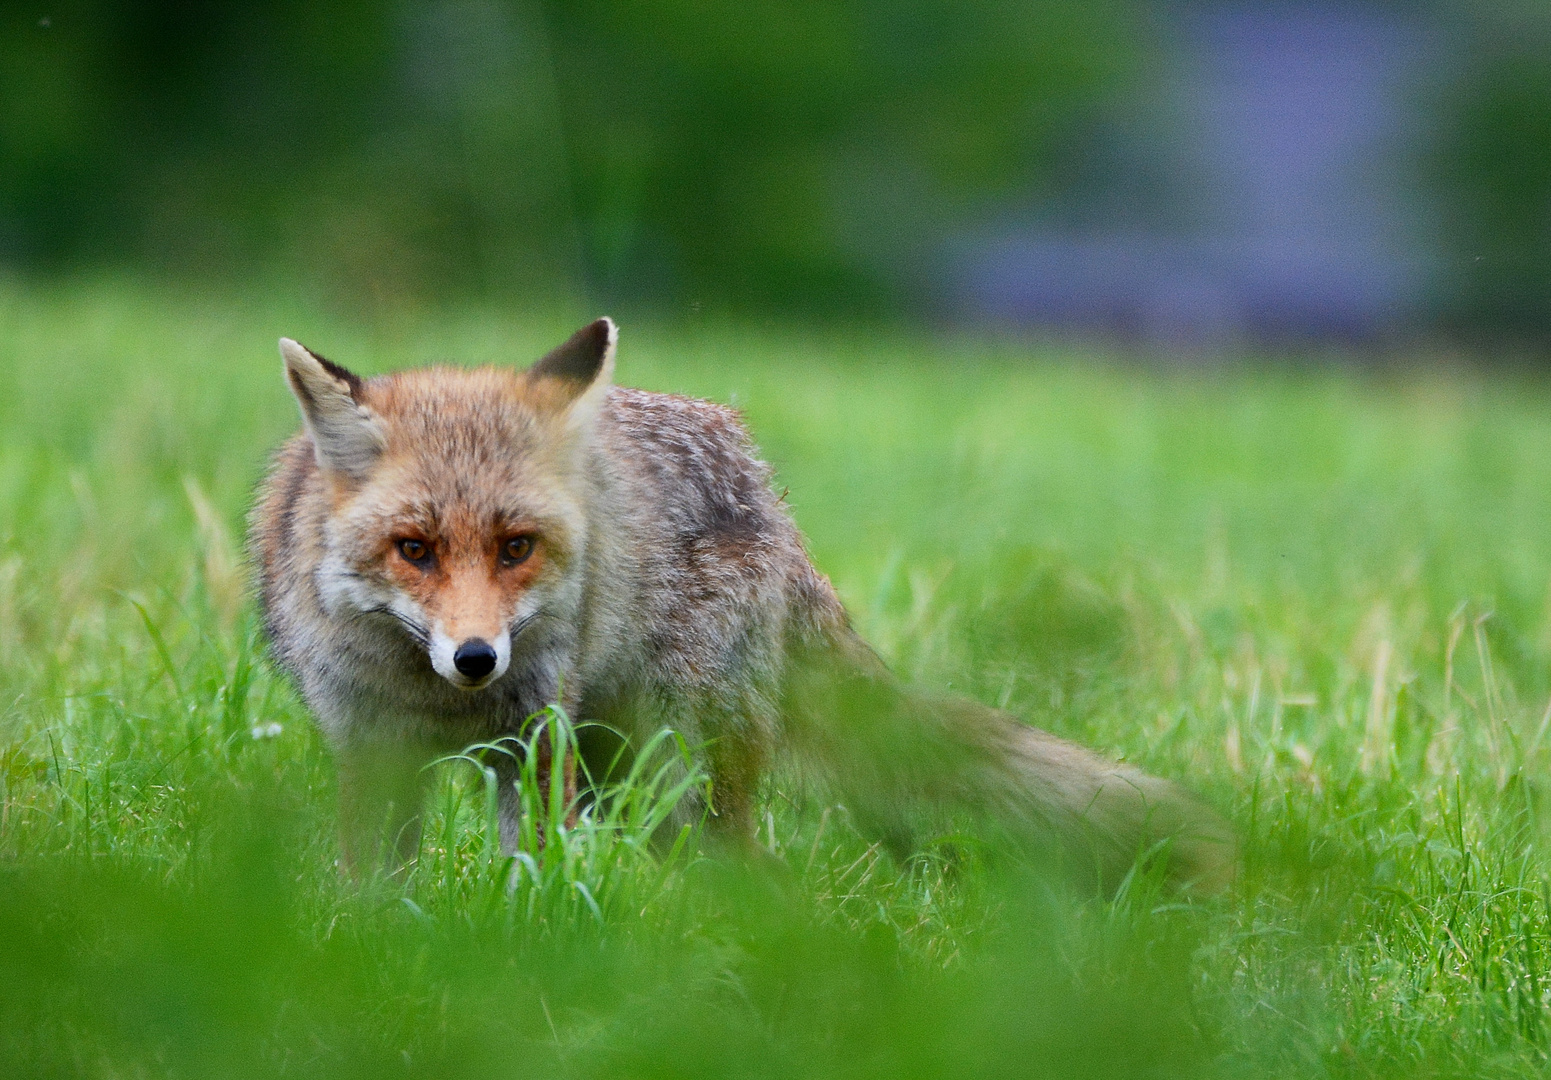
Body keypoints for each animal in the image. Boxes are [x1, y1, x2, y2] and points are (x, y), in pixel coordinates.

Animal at [251, 321, 1234, 893]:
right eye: (413, 549)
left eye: (515, 548)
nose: (475, 658)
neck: (437, 704)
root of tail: (770, 494)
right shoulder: (372, 746)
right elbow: (375, 885)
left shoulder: (537, 737)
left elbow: (532, 870)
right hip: (619, 766)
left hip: (672, 758)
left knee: (742, 863)